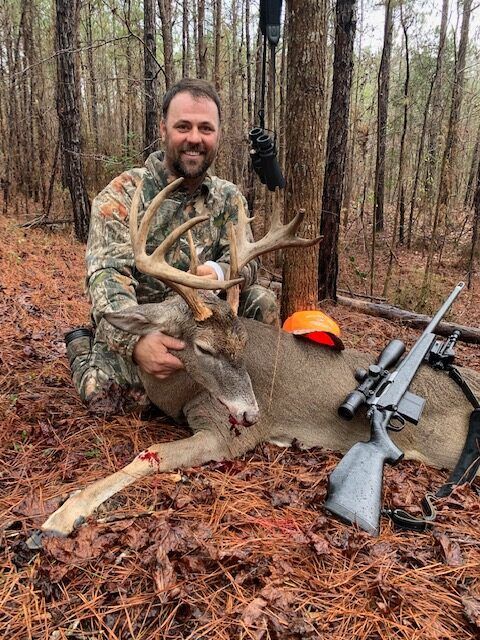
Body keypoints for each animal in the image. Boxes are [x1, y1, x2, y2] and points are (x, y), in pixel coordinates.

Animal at [40, 178, 480, 538]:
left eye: (243, 342)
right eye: (204, 348)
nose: (251, 413)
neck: (178, 392)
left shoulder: (226, 436)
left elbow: (149, 456)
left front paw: (60, 517)